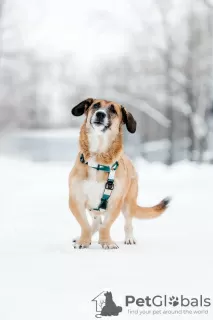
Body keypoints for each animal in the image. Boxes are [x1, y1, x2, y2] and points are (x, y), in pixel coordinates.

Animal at [68, 99, 170, 249]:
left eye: (113, 110)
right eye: (96, 106)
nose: (100, 114)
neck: (98, 158)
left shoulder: (115, 202)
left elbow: (106, 225)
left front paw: (106, 242)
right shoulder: (76, 200)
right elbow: (85, 224)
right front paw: (84, 241)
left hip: (128, 203)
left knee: (127, 223)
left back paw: (129, 238)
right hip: (92, 207)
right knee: (96, 223)